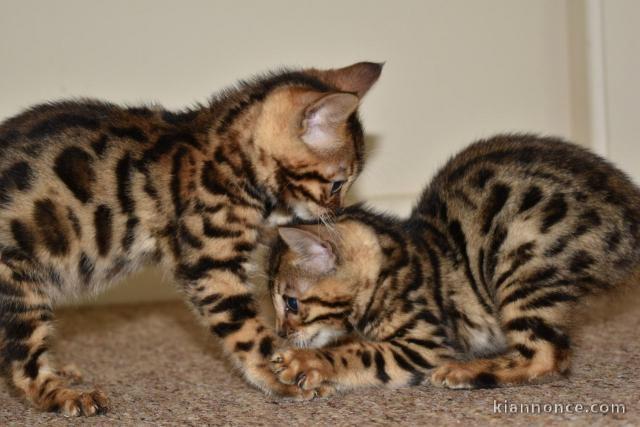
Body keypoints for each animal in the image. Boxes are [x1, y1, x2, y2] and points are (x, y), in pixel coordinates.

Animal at [0, 61, 380, 416]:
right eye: (337, 184)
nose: (339, 212)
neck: (227, 158)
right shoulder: (213, 267)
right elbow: (250, 334)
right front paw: (282, 375)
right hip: (19, 286)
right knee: (24, 365)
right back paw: (65, 394)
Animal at [266, 135, 640, 396]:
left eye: (291, 303)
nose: (281, 333)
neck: (391, 269)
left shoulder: (424, 344)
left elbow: (359, 353)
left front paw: (307, 361)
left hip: (519, 260)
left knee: (548, 356)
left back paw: (468, 371)